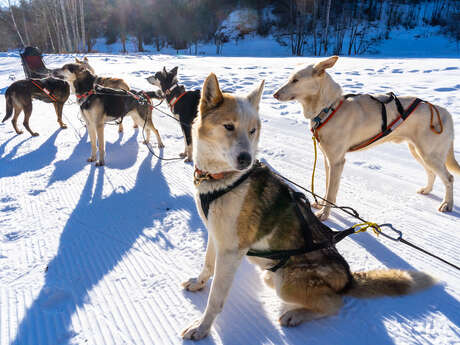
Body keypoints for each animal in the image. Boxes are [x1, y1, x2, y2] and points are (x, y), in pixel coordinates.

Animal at [181, 72, 434, 338]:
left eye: (252, 131)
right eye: (228, 126)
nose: (246, 160)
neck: (223, 179)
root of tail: (348, 278)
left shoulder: (230, 252)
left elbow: (216, 299)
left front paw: (201, 327)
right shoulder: (216, 237)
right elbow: (208, 265)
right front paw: (198, 283)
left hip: (284, 281)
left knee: (334, 303)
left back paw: (295, 314)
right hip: (271, 275)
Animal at [274, 55, 460, 219]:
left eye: (295, 80)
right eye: (290, 78)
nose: (274, 94)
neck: (329, 107)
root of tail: (444, 111)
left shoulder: (337, 162)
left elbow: (331, 192)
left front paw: (324, 214)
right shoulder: (328, 160)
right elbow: (327, 189)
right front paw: (321, 204)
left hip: (429, 154)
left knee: (449, 178)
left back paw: (447, 204)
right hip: (418, 152)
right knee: (432, 173)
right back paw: (427, 190)